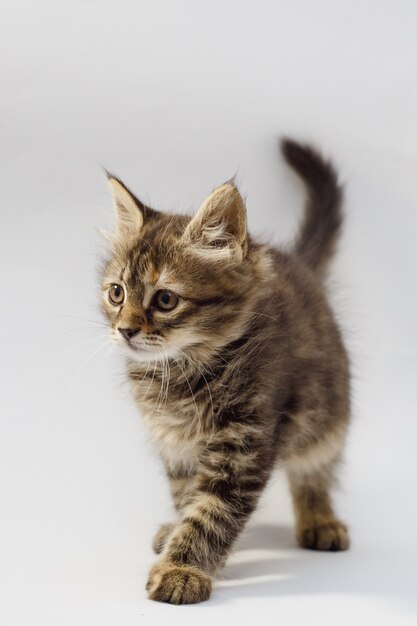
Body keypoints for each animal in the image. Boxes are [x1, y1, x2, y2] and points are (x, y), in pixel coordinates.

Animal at [101, 139, 352, 604]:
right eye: (117, 293)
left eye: (165, 300)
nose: (125, 330)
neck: (182, 374)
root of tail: (301, 267)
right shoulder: (176, 446)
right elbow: (188, 499)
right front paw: (179, 542)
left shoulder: (244, 444)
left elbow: (212, 512)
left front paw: (182, 570)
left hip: (326, 415)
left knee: (314, 472)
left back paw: (320, 519)